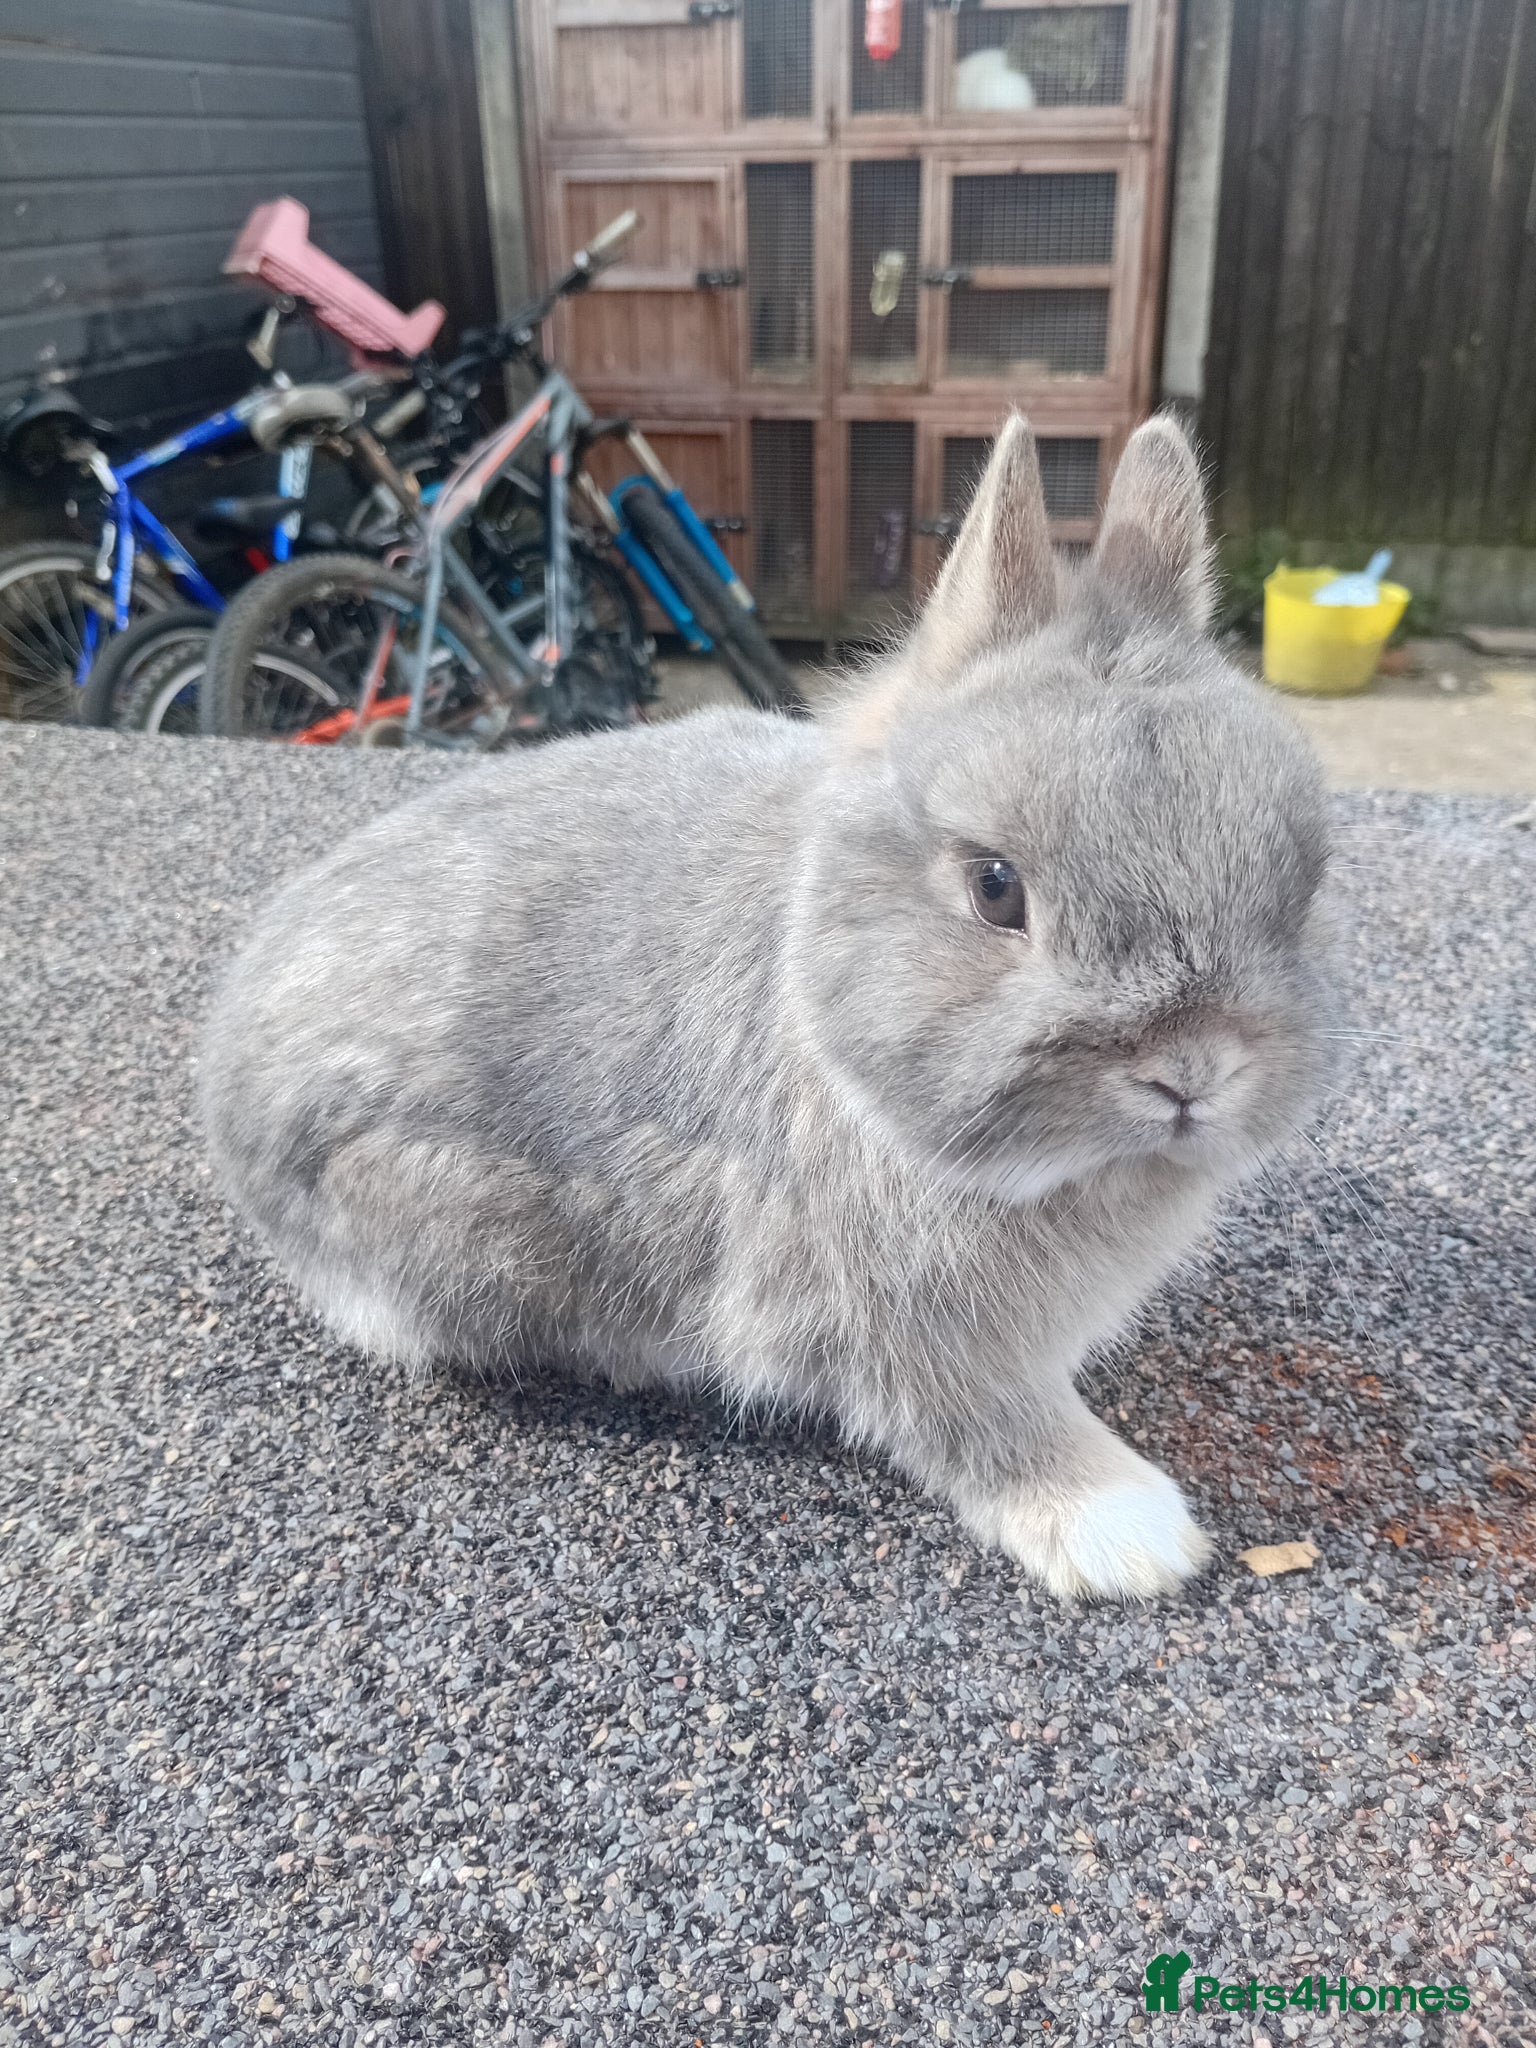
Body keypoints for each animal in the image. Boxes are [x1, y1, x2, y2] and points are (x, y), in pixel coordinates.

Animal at [201, 415, 1334, 1601]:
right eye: (996, 888)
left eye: (1304, 884)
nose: (1193, 1071)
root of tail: (223, 1077)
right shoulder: (908, 1325)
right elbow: (985, 1421)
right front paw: (1130, 1531)